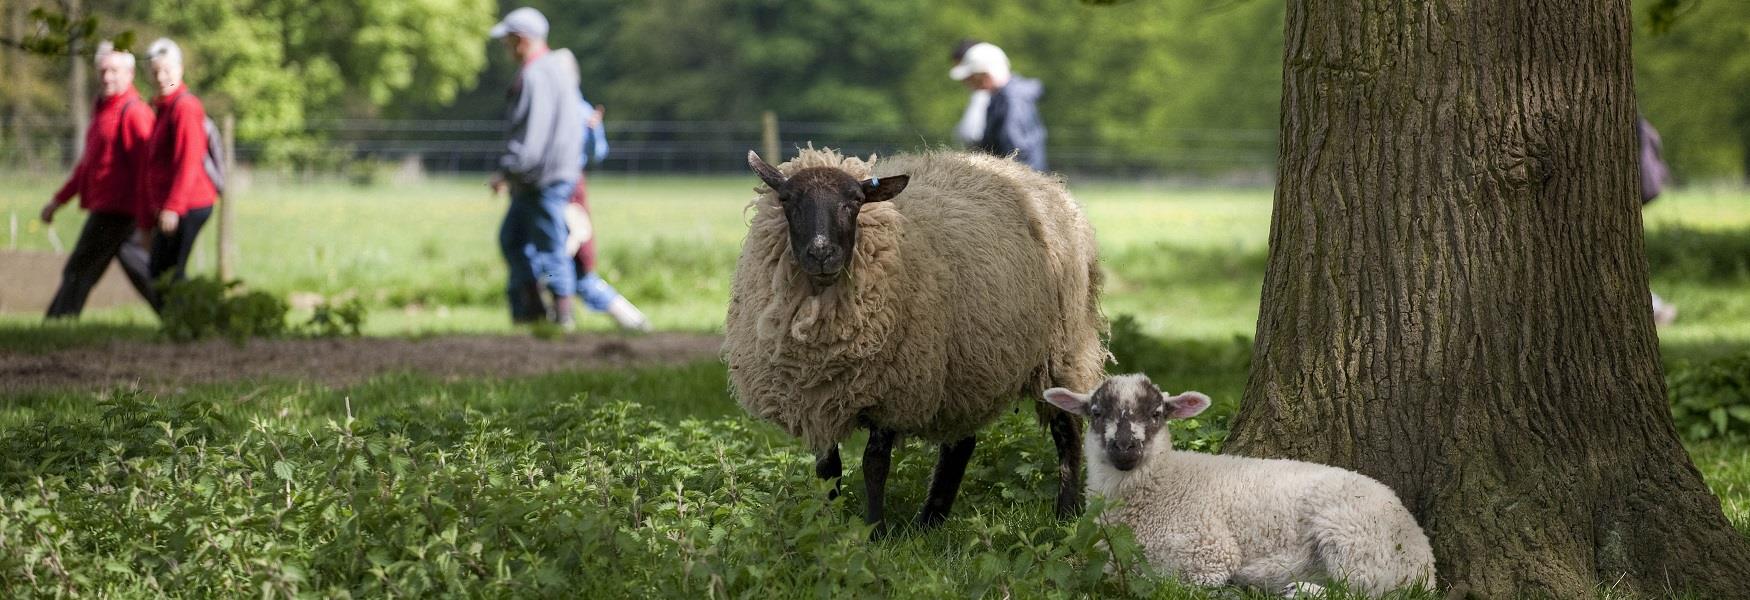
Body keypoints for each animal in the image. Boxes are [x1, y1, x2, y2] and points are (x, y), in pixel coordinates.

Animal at [724, 147, 1106, 535]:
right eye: (787, 199)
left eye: (855, 201)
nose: (821, 253)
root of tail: (1031, 174)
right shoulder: (818, 398)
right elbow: (827, 469)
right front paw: (826, 526)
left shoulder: (890, 393)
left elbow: (874, 465)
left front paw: (874, 532)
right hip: (966, 366)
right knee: (960, 443)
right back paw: (930, 521)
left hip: (1061, 349)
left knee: (1066, 431)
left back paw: (1066, 513)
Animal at [1036, 374, 1435, 598]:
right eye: (1096, 412)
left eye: (1156, 413)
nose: (1125, 447)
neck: (1163, 486)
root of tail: (1424, 561)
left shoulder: (1210, 551)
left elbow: (1170, 583)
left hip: (1354, 538)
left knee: (1361, 591)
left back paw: (1298, 591)